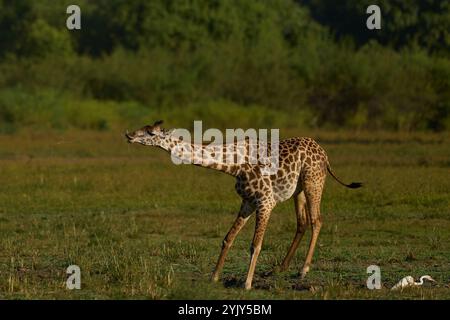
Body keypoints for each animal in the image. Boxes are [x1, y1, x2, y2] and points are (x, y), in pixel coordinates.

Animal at [124, 120, 362, 290]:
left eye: (151, 133)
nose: (129, 135)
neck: (234, 165)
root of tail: (325, 154)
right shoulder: (247, 201)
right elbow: (228, 238)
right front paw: (214, 277)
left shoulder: (266, 202)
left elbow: (255, 244)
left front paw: (246, 284)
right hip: (299, 189)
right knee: (302, 222)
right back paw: (280, 268)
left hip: (314, 182)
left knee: (316, 220)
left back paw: (303, 270)